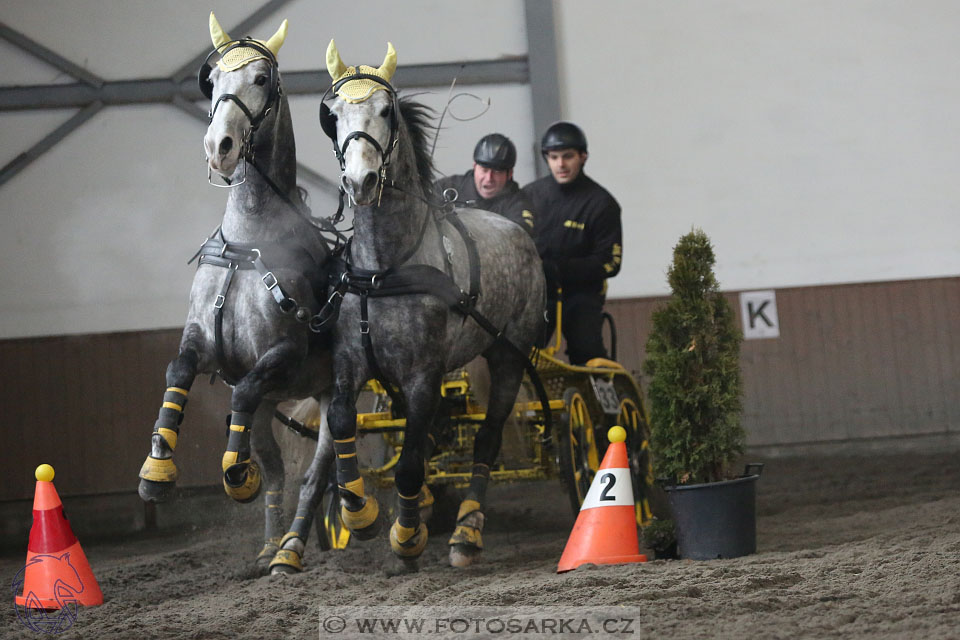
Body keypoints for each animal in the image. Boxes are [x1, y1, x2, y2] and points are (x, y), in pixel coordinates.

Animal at [137, 15, 336, 572]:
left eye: (261, 79)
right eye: (213, 79)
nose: (218, 145)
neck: (250, 243)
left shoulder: (283, 353)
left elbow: (242, 391)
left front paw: (235, 473)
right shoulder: (203, 339)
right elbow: (177, 371)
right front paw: (156, 473)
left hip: (334, 397)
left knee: (317, 473)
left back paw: (291, 548)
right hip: (277, 406)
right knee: (279, 468)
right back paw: (270, 544)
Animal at [310, 42, 544, 568]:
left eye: (386, 110)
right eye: (332, 115)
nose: (361, 180)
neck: (383, 271)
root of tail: (517, 230)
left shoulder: (423, 377)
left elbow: (412, 466)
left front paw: (407, 536)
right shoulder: (350, 364)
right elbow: (341, 423)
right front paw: (359, 513)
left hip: (508, 353)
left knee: (487, 438)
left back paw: (466, 534)